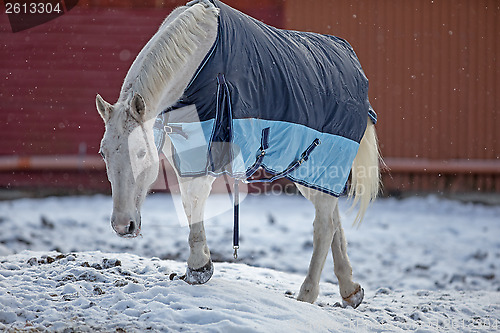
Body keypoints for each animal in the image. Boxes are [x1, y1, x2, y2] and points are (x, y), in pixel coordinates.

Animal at [95, 0, 380, 308]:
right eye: (103, 153)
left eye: (140, 153)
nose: (123, 225)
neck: (198, 64)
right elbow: (188, 203)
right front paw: (200, 265)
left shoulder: (206, 149)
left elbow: (195, 200)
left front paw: (198, 268)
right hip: (310, 171)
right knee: (333, 219)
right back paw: (350, 289)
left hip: (319, 163)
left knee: (324, 226)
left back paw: (306, 295)